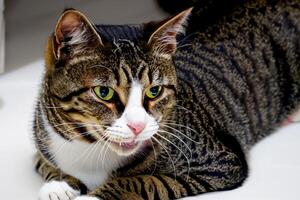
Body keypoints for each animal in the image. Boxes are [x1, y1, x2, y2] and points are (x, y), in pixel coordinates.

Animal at [33, 0, 300, 199]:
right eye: (104, 93)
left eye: (155, 91)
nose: (137, 126)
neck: (88, 149)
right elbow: (43, 163)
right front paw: (60, 185)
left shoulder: (222, 162)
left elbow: (145, 181)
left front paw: (92, 196)